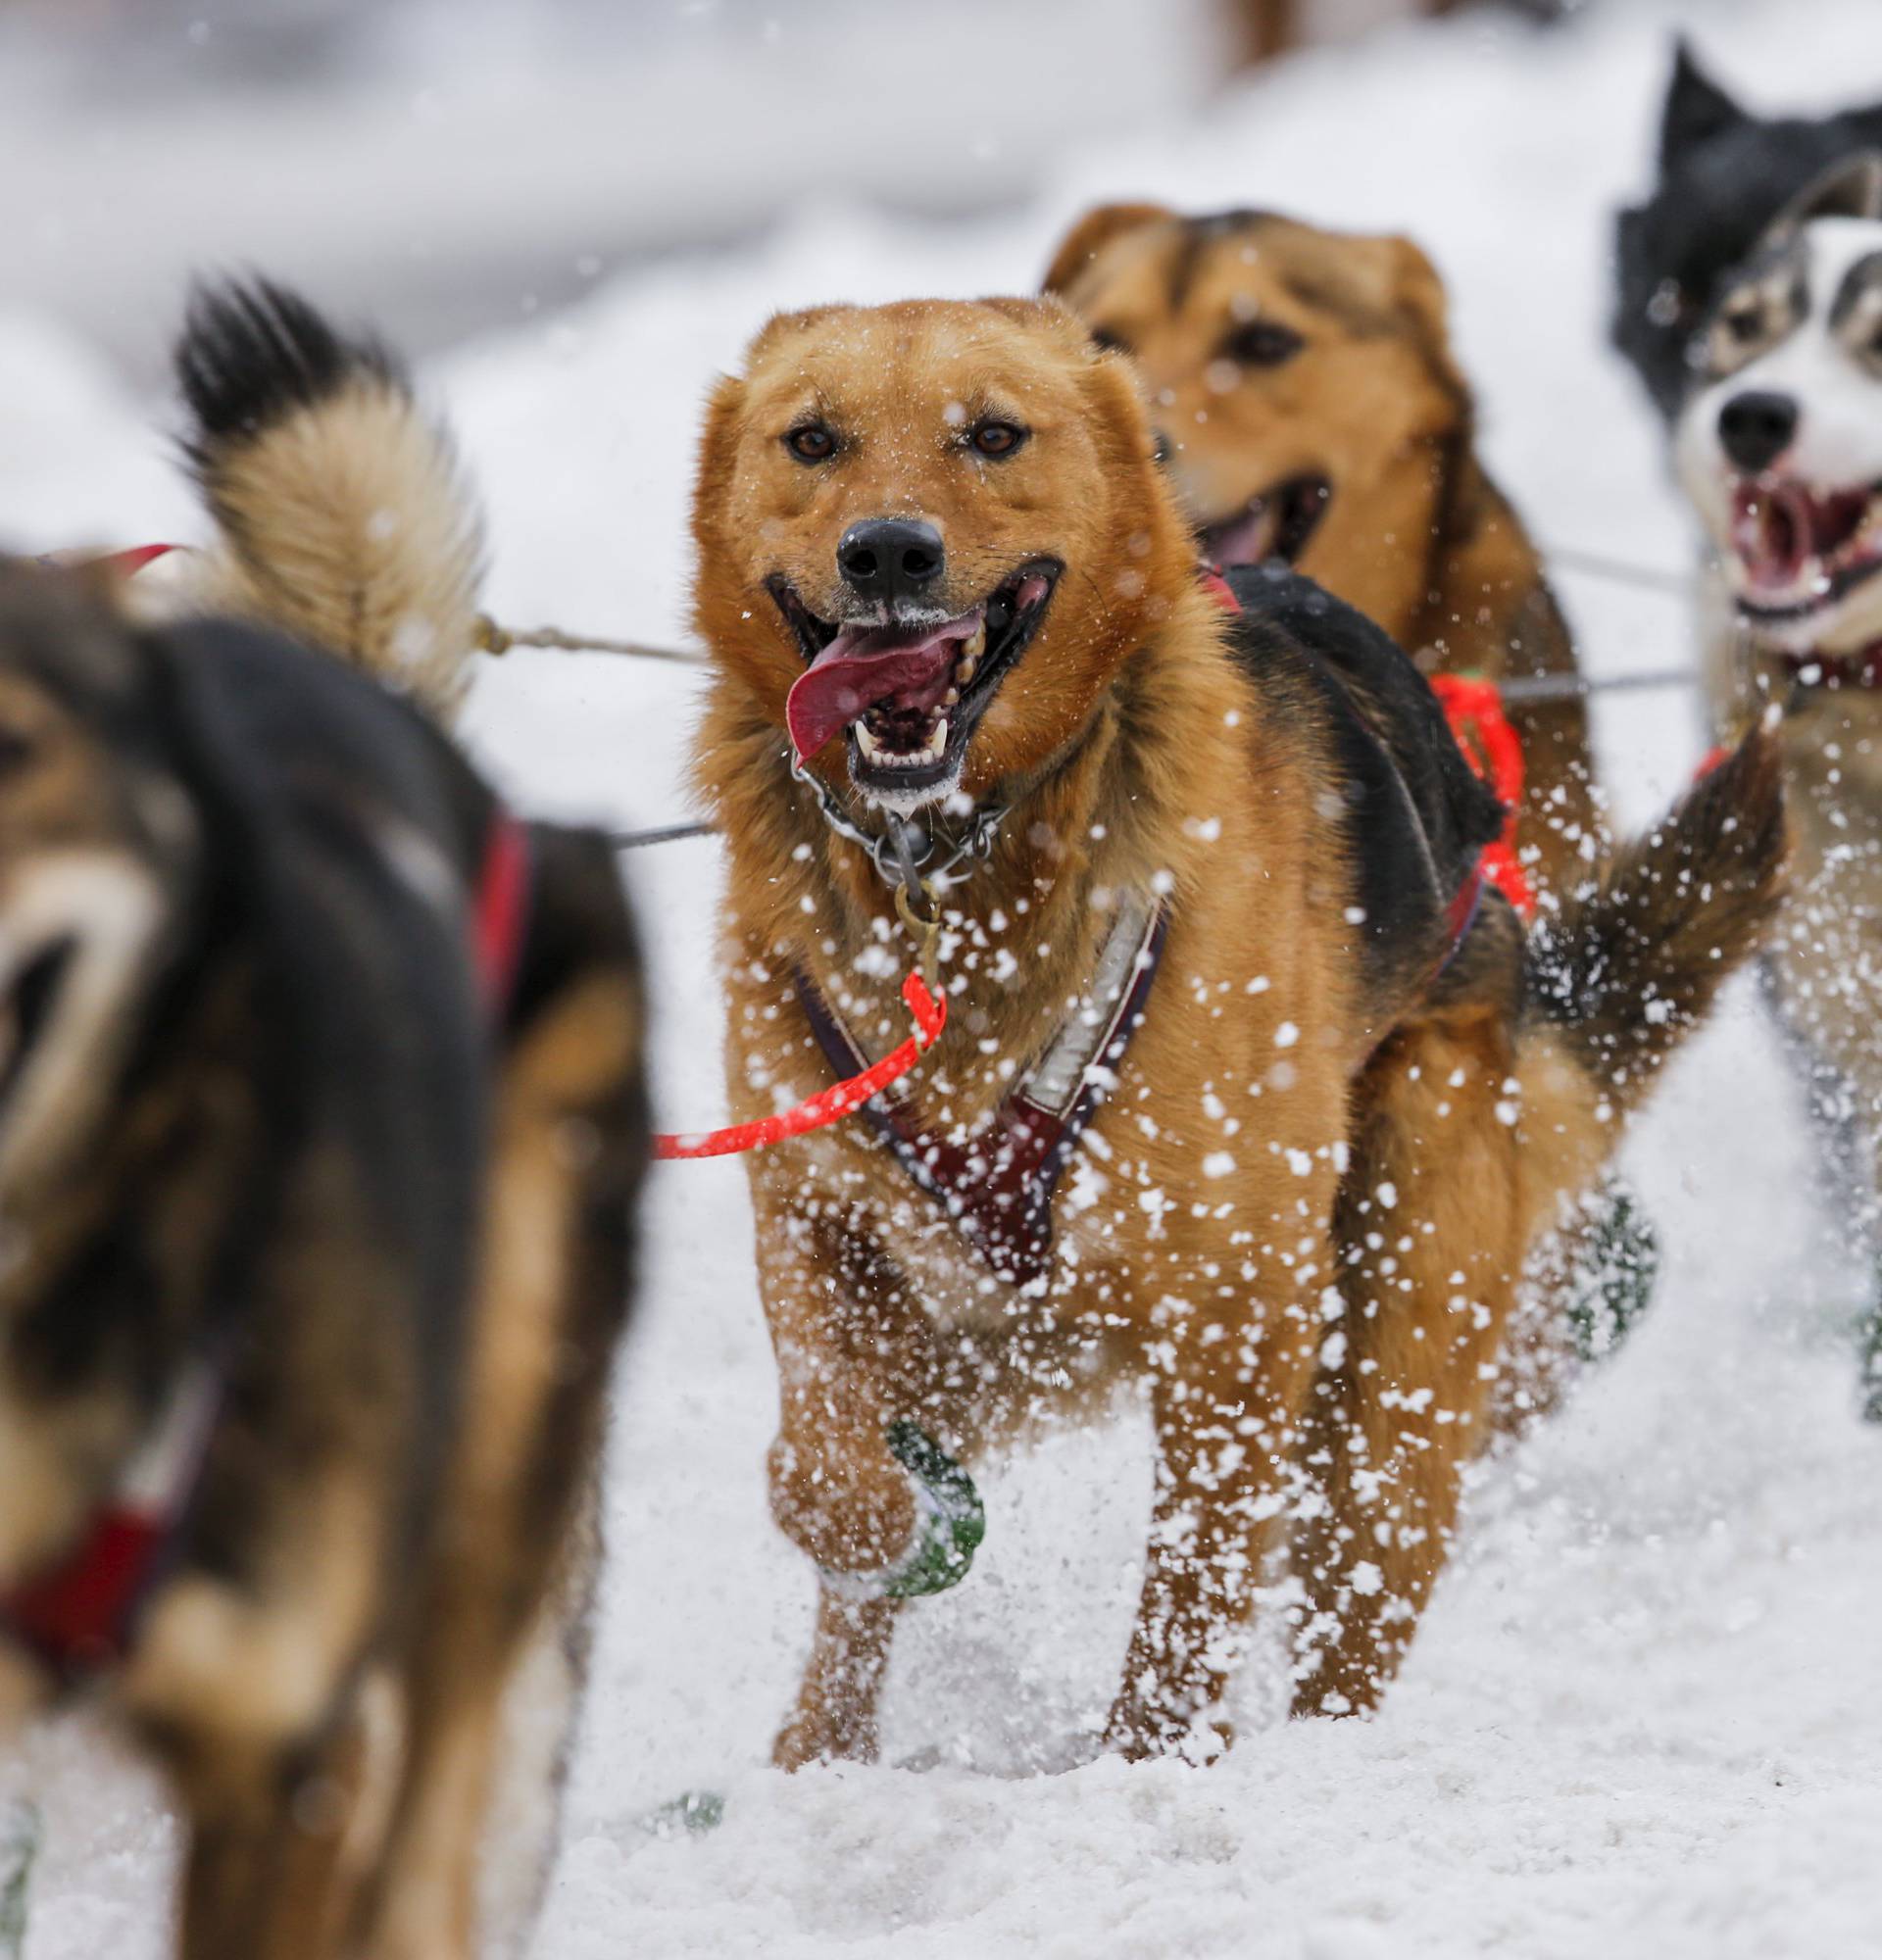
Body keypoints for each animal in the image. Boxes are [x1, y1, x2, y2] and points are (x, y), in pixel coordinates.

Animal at [686, 298, 1780, 1772]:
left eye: (994, 435)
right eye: (813, 441)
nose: (889, 552)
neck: (952, 876)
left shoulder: (1238, 1303)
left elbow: (1191, 1596)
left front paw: (1143, 1770)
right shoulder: (816, 1216)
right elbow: (819, 1475)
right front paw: (899, 1526)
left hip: (1392, 1354)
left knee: (1351, 1589)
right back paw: (818, 1756)